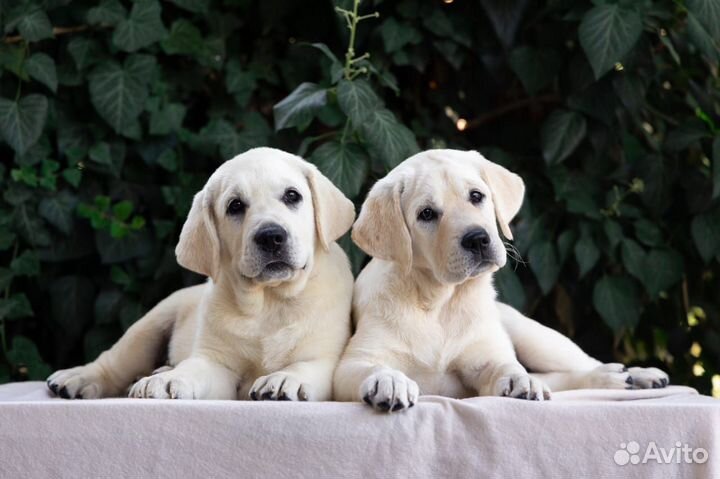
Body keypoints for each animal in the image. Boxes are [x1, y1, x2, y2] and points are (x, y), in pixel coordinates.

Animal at [47, 148, 358, 404]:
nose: (271, 236)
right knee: (113, 362)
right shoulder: (215, 362)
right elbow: (193, 368)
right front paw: (168, 380)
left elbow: (305, 365)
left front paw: (284, 378)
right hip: (149, 325)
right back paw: (79, 377)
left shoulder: (326, 358)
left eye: (292, 196)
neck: (270, 301)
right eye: (235, 206)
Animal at [334, 150, 668, 412]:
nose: (477, 239)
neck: (439, 302)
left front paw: (519, 379)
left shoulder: (486, 358)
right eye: (426, 214)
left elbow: (506, 365)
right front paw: (389, 380)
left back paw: (635, 374)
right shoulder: (351, 364)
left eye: (476, 196)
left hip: (535, 336)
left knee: (580, 363)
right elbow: (372, 365)